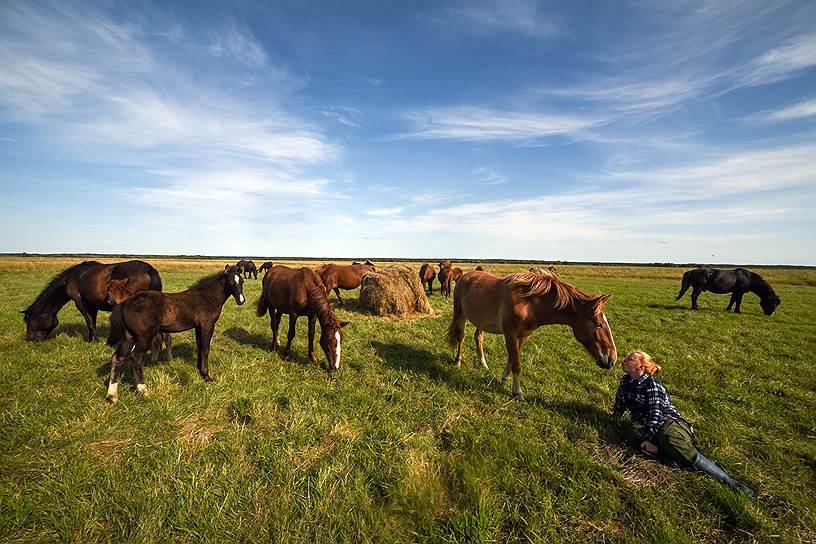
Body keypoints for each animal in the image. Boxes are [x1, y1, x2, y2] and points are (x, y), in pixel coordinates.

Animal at [21, 260, 163, 340]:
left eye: (30, 320)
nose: (30, 339)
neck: (71, 278)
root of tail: (148, 270)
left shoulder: (79, 302)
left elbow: (89, 321)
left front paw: (93, 340)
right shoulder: (92, 304)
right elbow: (92, 320)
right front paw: (91, 338)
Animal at [103, 266, 242, 402]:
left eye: (242, 281)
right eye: (230, 282)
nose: (241, 300)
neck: (207, 297)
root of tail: (125, 303)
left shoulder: (198, 327)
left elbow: (199, 347)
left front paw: (199, 369)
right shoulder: (207, 326)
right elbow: (205, 349)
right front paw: (207, 376)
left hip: (129, 335)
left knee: (118, 357)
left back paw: (112, 395)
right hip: (144, 337)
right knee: (136, 358)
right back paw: (143, 390)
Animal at [446, 270, 620, 402]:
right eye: (598, 324)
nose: (612, 359)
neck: (530, 304)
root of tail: (465, 277)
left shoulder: (522, 336)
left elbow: (512, 358)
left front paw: (504, 378)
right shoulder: (510, 334)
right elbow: (516, 363)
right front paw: (518, 394)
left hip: (480, 321)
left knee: (478, 337)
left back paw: (483, 363)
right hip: (460, 314)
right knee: (461, 337)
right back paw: (458, 362)